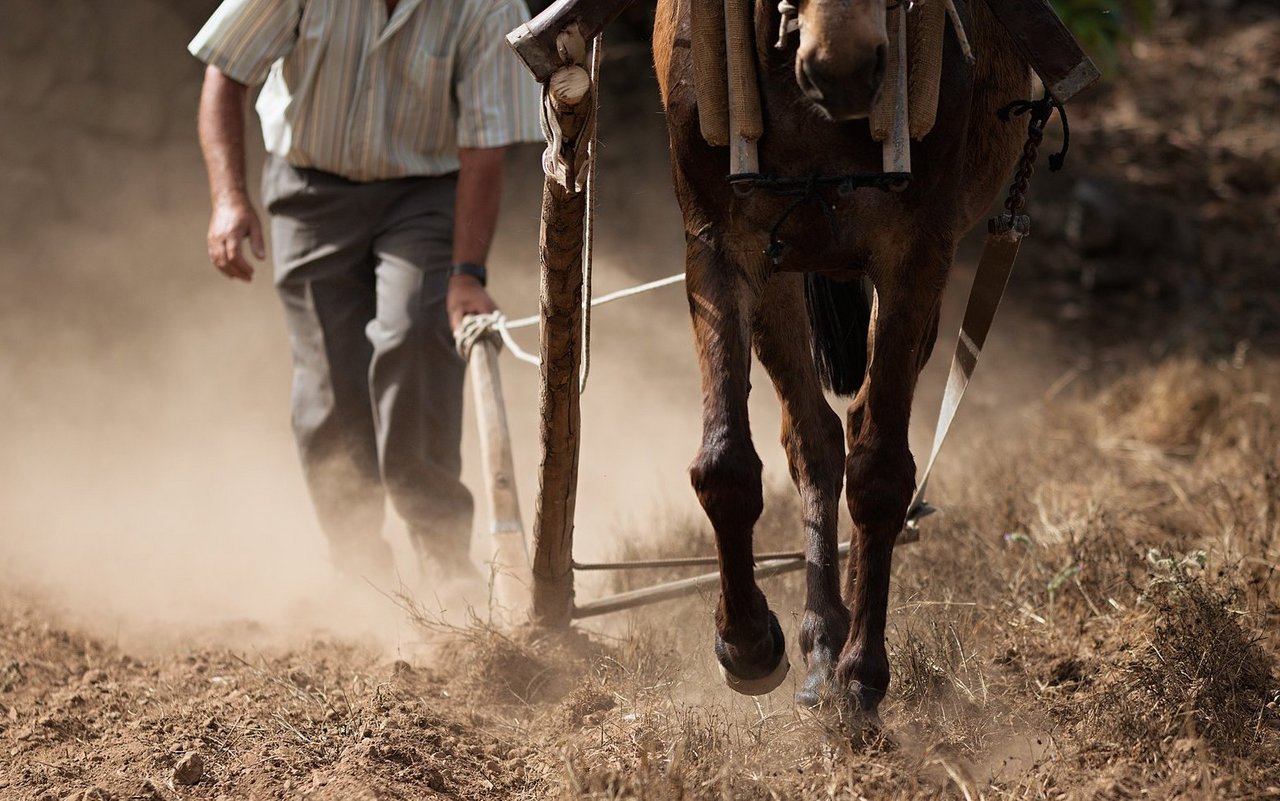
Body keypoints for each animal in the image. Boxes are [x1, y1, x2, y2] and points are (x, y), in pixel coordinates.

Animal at [655, 0, 1034, 716]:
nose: (846, 65)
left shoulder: (917, 252)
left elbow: (881, 471)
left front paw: (863, 673)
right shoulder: (717, 239)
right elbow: (726, 463)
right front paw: (746, 641)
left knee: (855, 428)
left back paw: (842, 642)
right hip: (783, 270)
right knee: (814, 438)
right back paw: (821, 635)